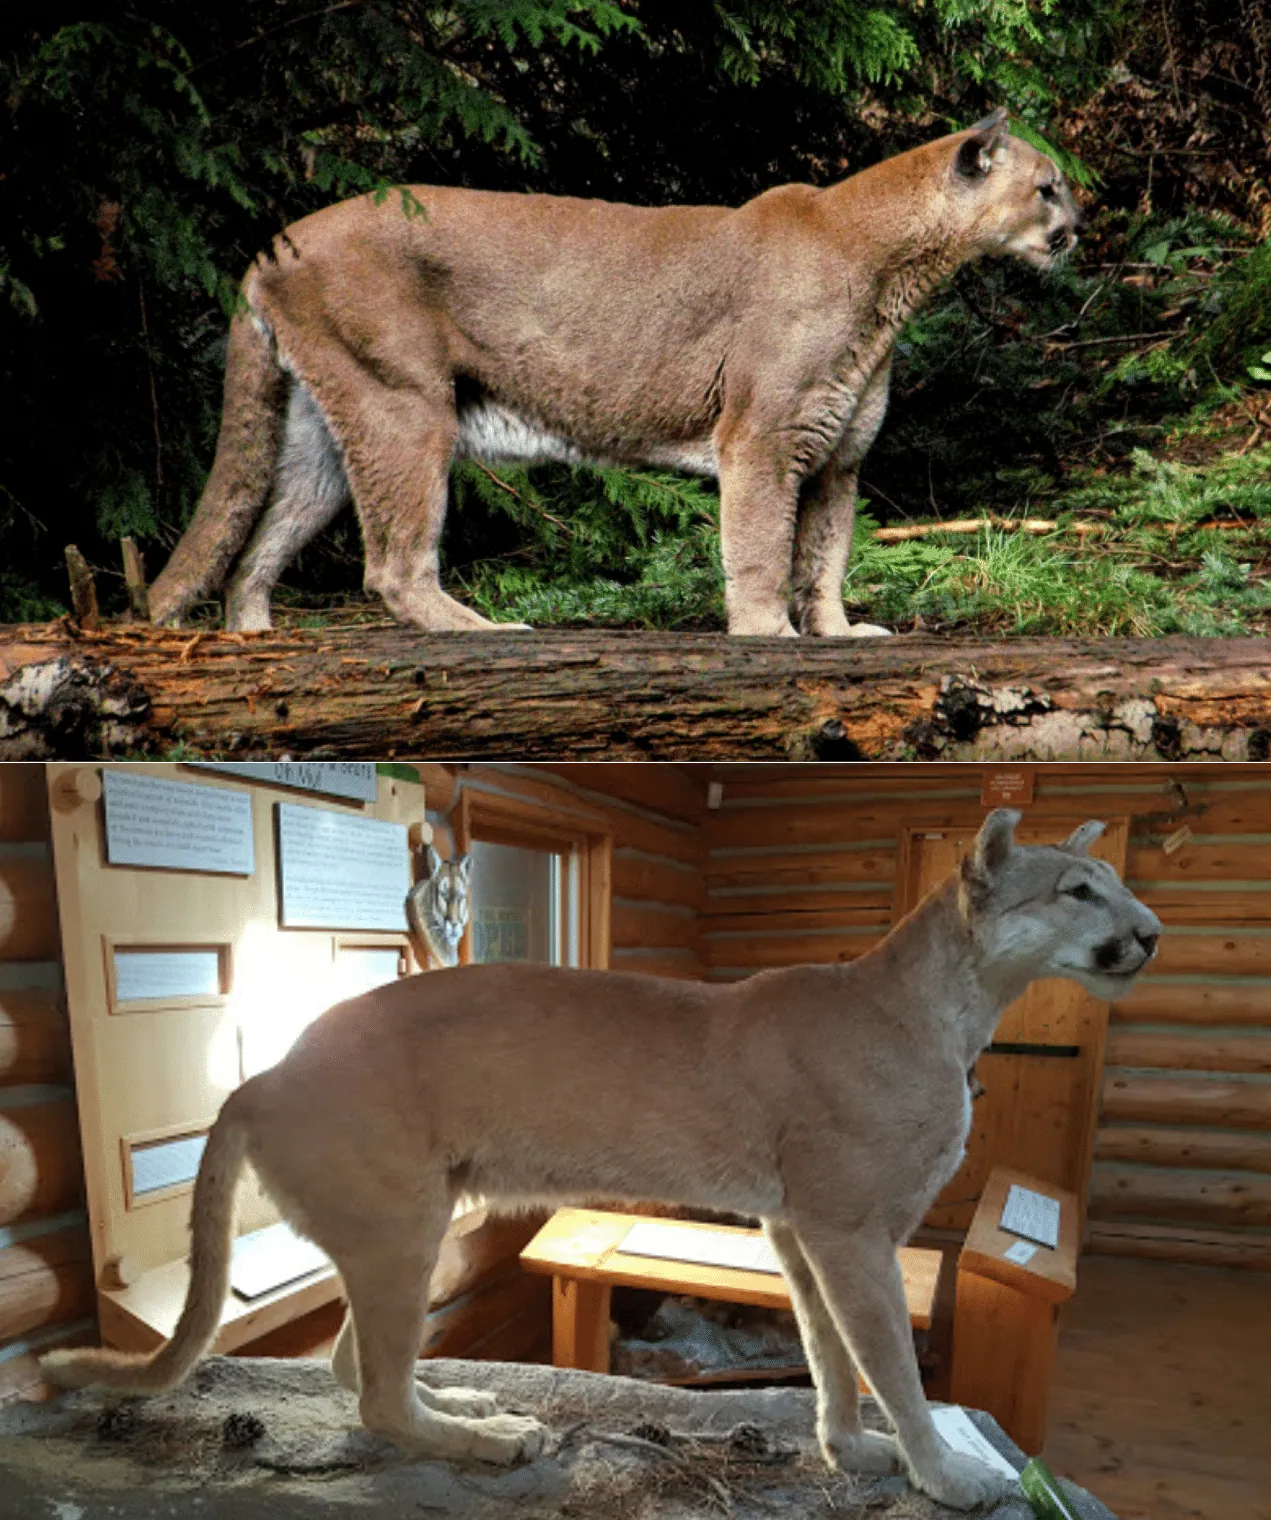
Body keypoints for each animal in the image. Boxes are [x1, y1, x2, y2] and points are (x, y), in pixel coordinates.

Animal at [42, 810, 1156, 1509]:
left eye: (1114, 885)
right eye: (1077, 890)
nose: (1147, 931)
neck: (953, 1003)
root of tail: (263, 1072)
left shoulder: (800, 1227)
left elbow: (826, 1348)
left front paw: (848, 1450)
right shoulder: (847, 1228)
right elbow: (886, 1357)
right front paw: (950, 1474)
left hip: (410, 1223)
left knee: (356, 1363)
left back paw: (469, 1404)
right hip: (399, 1223)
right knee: (371, 1391)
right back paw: (493, 1437)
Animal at [147, 110, 1078, 638]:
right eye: (1047, 188)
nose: (1079, 226)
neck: (893, 270)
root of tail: (273, 244)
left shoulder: (837, 457)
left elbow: (824, 558)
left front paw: (837, 634)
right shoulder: (762, 440)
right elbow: (762, 549)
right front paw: (765, 635)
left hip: (326, 426)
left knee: (260, 535)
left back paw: (254, 633)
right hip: (406, 406)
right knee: (393, 565)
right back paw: (481, 631)